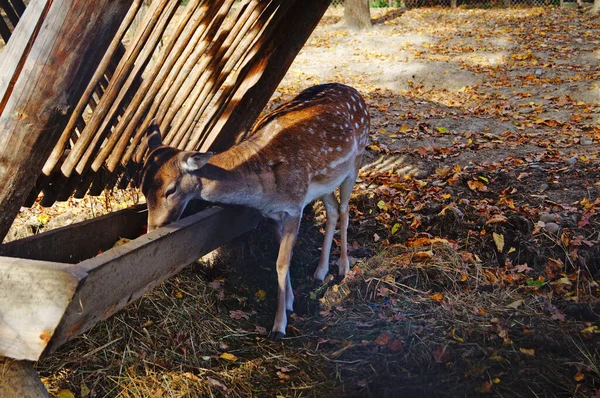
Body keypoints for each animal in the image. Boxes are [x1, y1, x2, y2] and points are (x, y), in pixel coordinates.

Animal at [141, 82, 370, 338]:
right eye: (142, 187)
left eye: (170, 190)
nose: (153, 227)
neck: (265, 190)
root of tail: (354, 91)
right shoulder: (274, 214)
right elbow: (284, 257)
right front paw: (290, 302)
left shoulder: (294, 206)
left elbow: (281, 262)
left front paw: (279, 326)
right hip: (325, 184)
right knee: (332, 210)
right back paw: (320, 272)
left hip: (356, 161)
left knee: (344, 210)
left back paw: (343, 268)